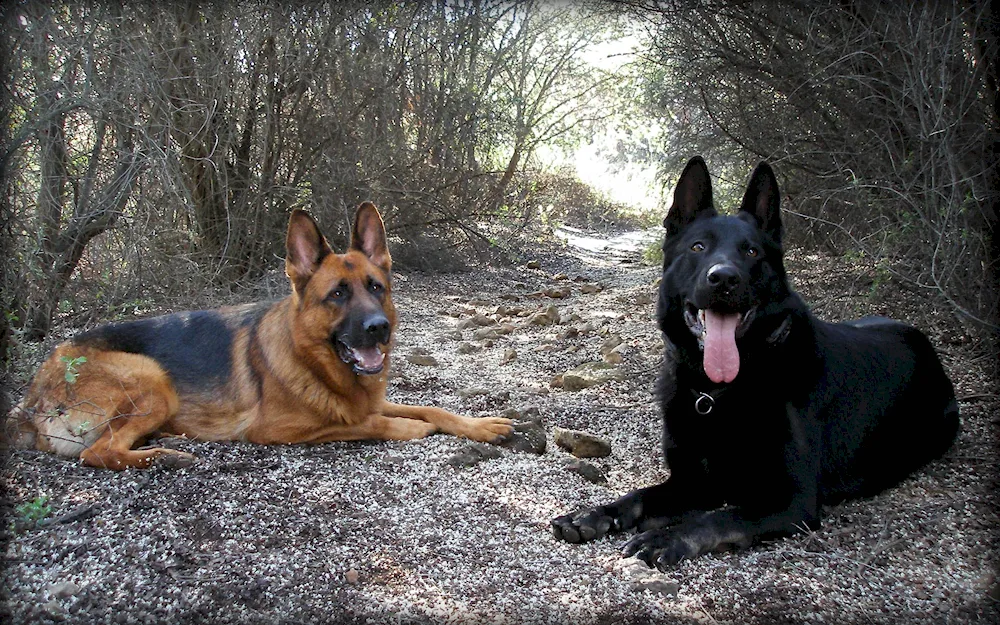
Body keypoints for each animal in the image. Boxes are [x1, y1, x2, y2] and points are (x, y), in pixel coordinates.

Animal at [552, 157, 956, 572]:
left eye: (751, 252)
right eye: (698, 246)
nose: (723, 279)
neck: (719, 392)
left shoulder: (790, 501)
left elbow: (717, 517)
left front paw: (666, 537)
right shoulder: (691, 482)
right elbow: (638, 496)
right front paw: (593, 514)